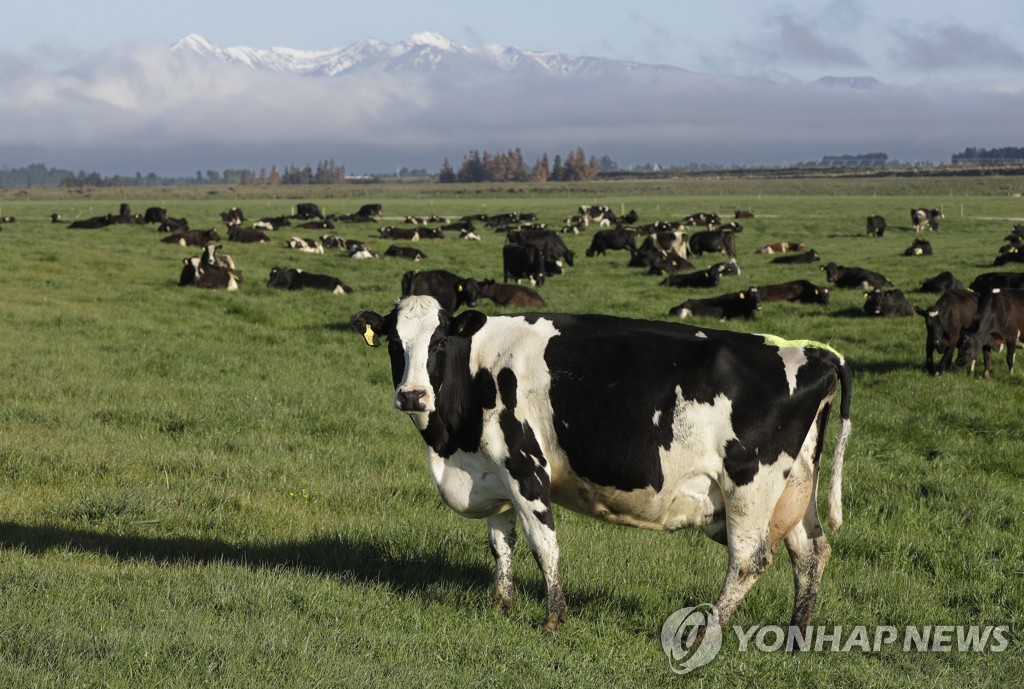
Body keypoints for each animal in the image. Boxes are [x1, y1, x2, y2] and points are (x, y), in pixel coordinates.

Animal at [348, 292, 851, 630]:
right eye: (393, 343)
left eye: (437, 343)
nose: (412, 395)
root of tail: (815, 352)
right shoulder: (493, 472)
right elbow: (501, 544)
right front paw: (500, 608)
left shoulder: (526, 467)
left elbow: (543, 545)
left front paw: (553, 620)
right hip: (794, 487)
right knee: (811, 553)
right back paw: (796, 637)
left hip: (750, 484)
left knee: (748, 560)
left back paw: (705, 633)